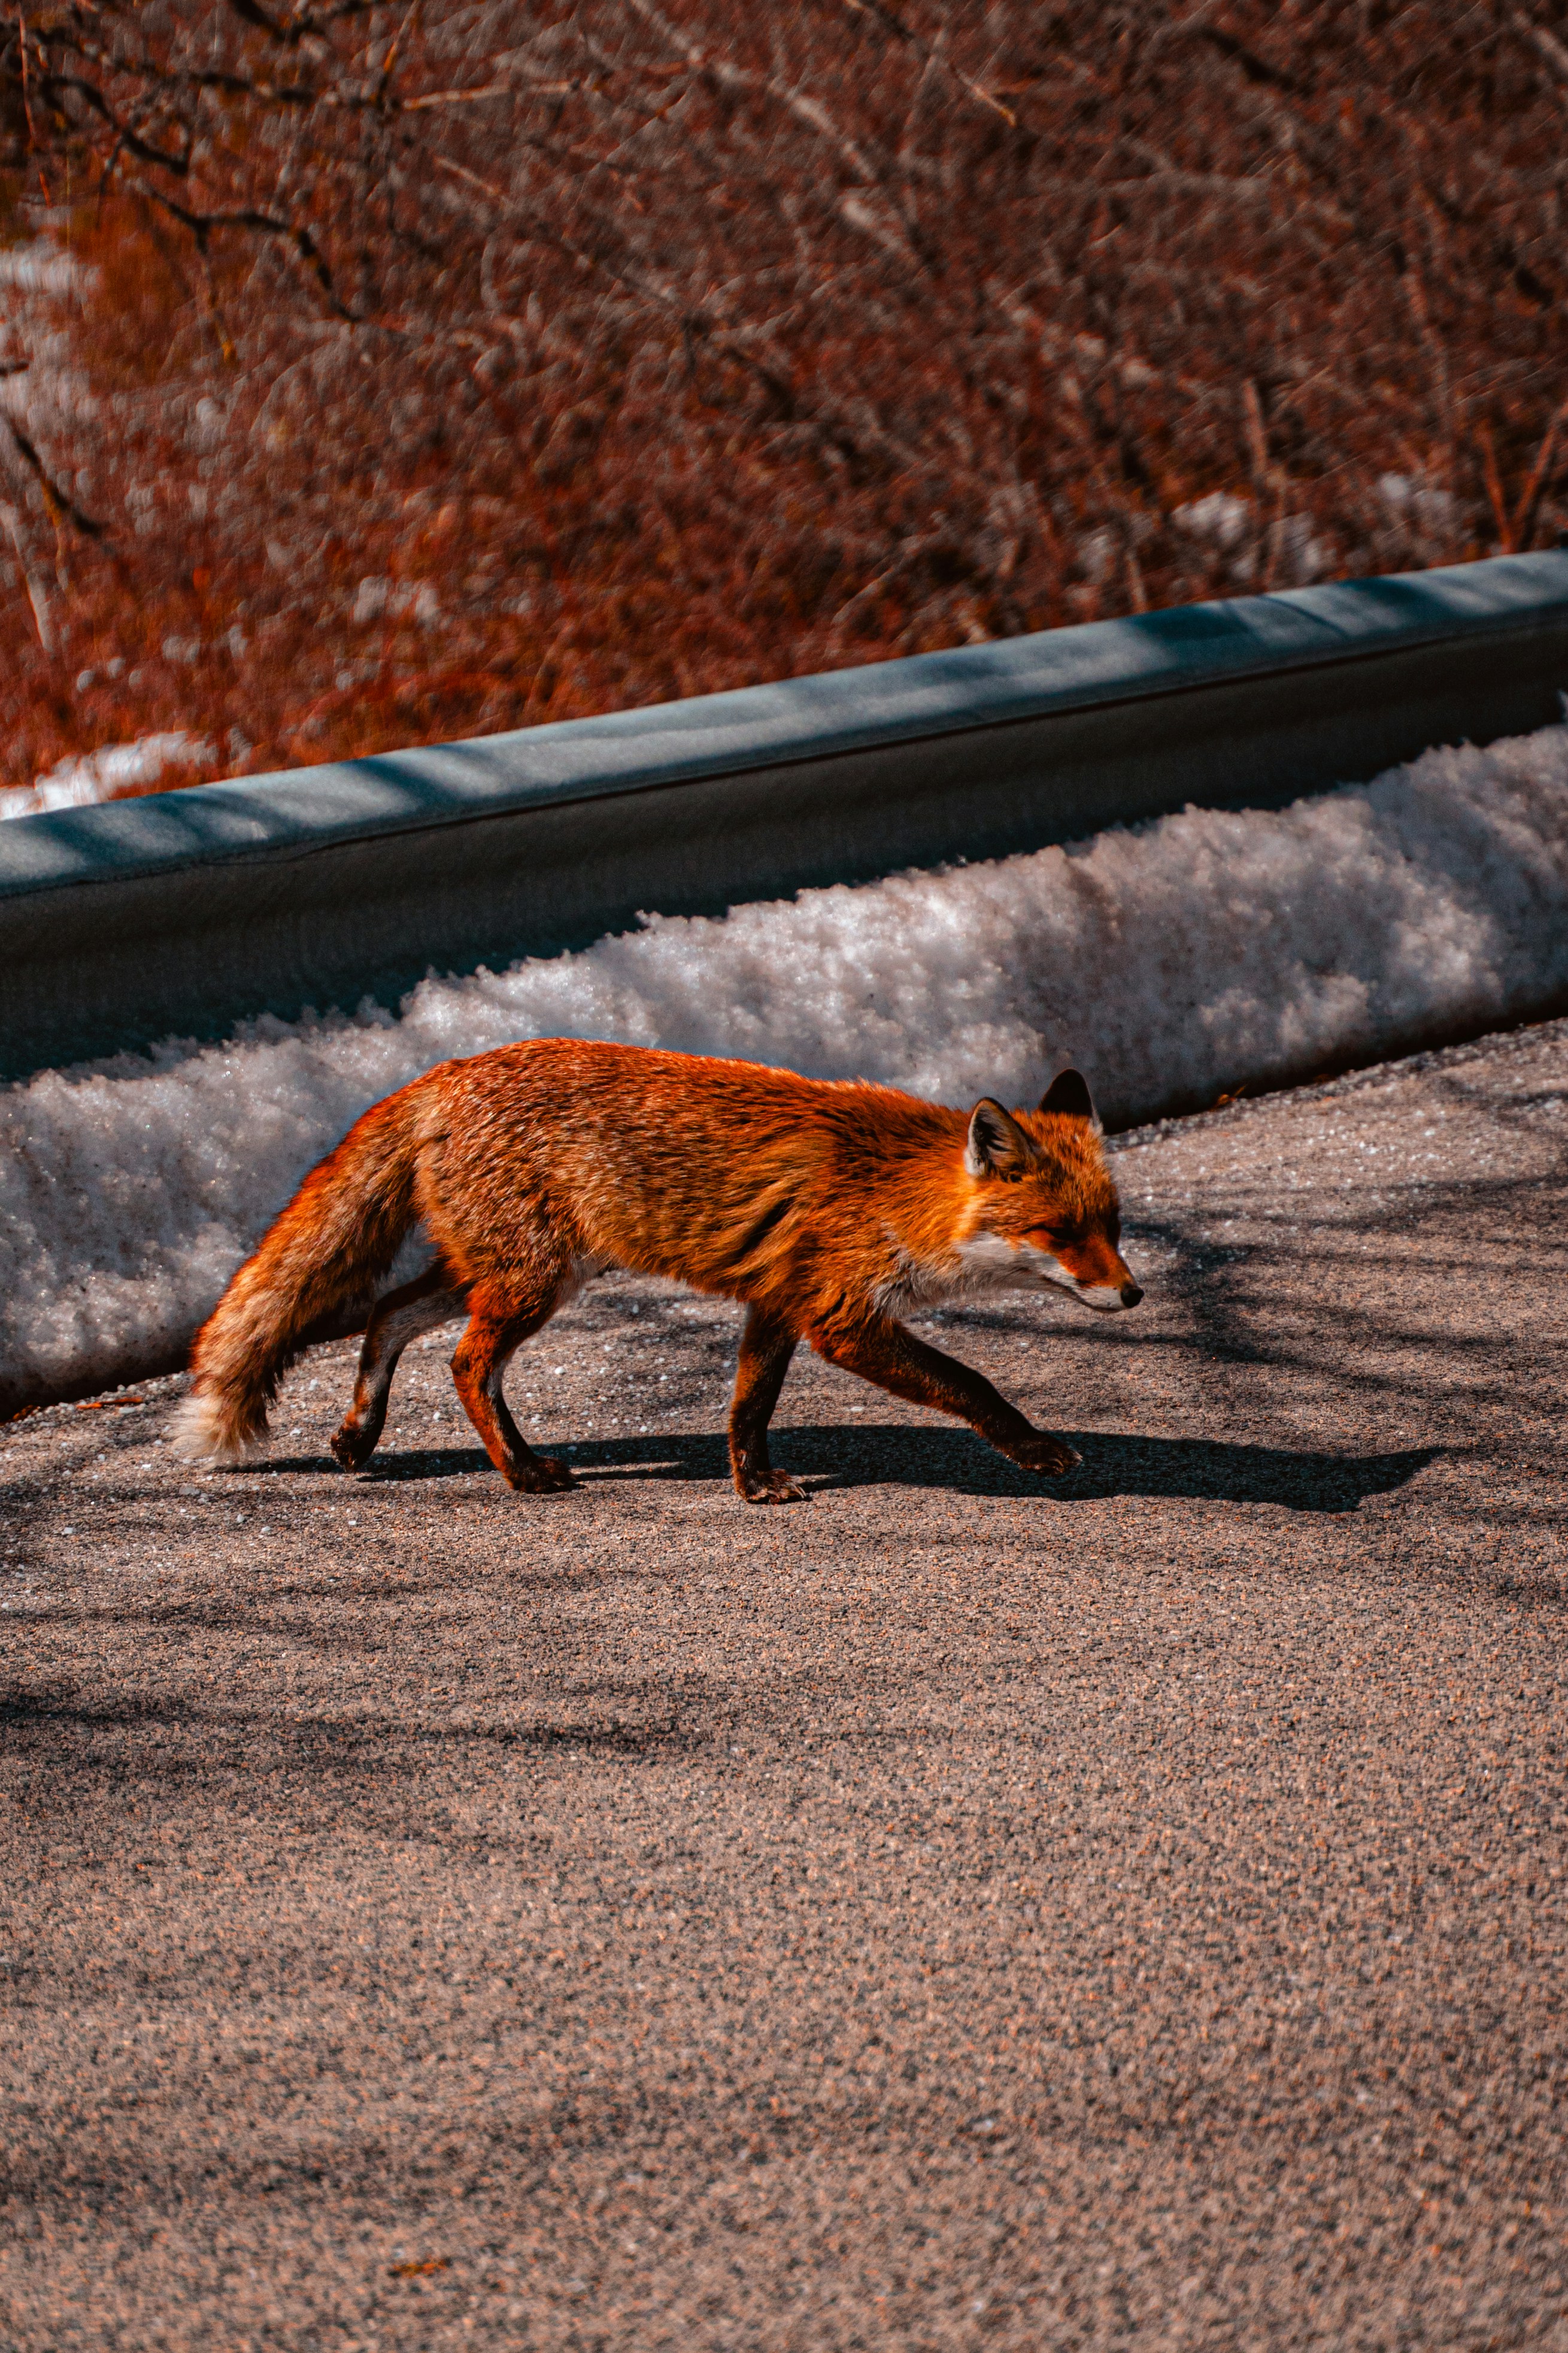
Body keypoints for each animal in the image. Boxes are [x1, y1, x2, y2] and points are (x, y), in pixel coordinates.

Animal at [174, 1039, 1142, 1502]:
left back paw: (359, 1432)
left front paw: (751, 1483)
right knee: (464, 1362)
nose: (1132, 1292)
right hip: (531, 1283)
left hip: (515, 1271)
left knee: (386, 1315)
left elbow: (747, 1408)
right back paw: (520, 1472)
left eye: (1112, 1226)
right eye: (1058, 1232)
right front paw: (1032, 1448)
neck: (893, 1193)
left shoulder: (776, 1301)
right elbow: (973, 1383)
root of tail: (444, 1071)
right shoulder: (836, 1314)